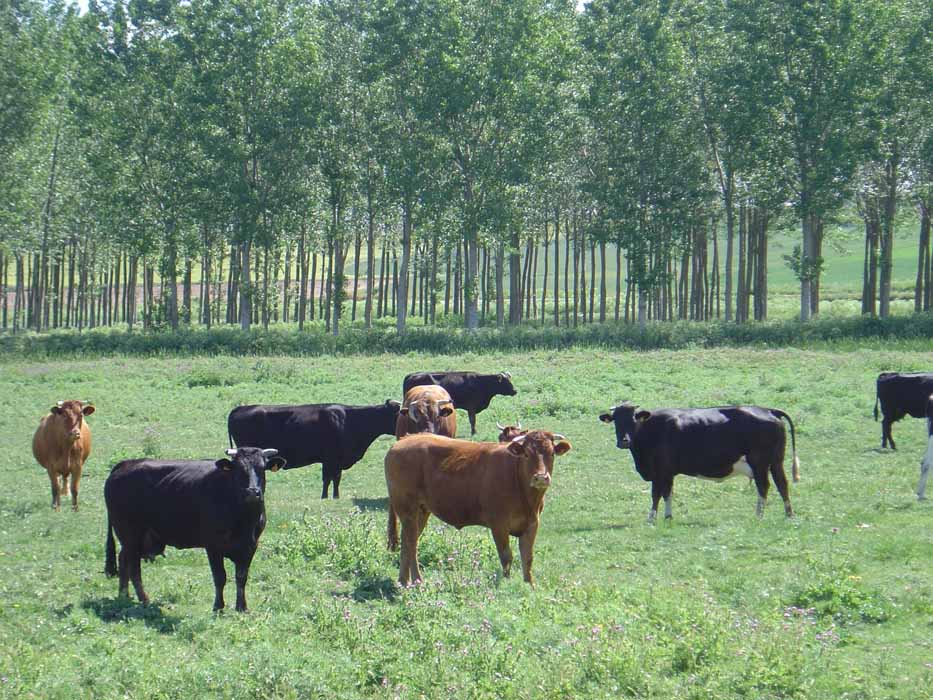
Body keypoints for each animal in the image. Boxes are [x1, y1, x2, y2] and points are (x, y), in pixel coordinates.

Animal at [104, 446, 286, 608]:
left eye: (262, 468)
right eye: (238, 469)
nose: (252, 492)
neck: (243, 518)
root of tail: (127, 463)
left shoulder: (250, 546)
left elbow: (241, 577)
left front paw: (242, 607)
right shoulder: (213, 546)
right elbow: (220, 577)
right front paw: (218, 607)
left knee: (123, 559)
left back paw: (123, 595)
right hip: (129, 534)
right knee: (133, 567)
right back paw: (144, 600)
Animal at [228, 400, 400, 498]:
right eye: (399, 413)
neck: (349, 419)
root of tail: (239, 409)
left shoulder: (336, 460)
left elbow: (336, 479)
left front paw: (335, 497)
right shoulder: (330, 459)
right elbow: (328, 479)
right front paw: (325, 497)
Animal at [384, 432, 572, 584]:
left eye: (552, 453)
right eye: (526, 454)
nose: (540, 477)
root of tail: (402, 441)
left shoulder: (532, 524)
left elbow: (527, 558)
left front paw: (529, 586)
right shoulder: (499, 525)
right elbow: (507, 557)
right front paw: (507, 585)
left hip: (421, 511)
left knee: (408, 541)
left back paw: (404, 581)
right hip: (407, 508)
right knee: (411, 542)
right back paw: (417, 580)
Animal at [600, 402, 796, 524]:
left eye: (633, 419)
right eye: (616, 420)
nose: (624, 441)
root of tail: (768, 410)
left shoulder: (660, 471)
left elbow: (656, 494)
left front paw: (652, 518)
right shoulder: (667, 472)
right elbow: (668, 494)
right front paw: (668, 517)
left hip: (759, 463)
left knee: (764, 486)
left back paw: (758, 515)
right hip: (776, 462)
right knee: (782, 484)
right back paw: (789, 515)